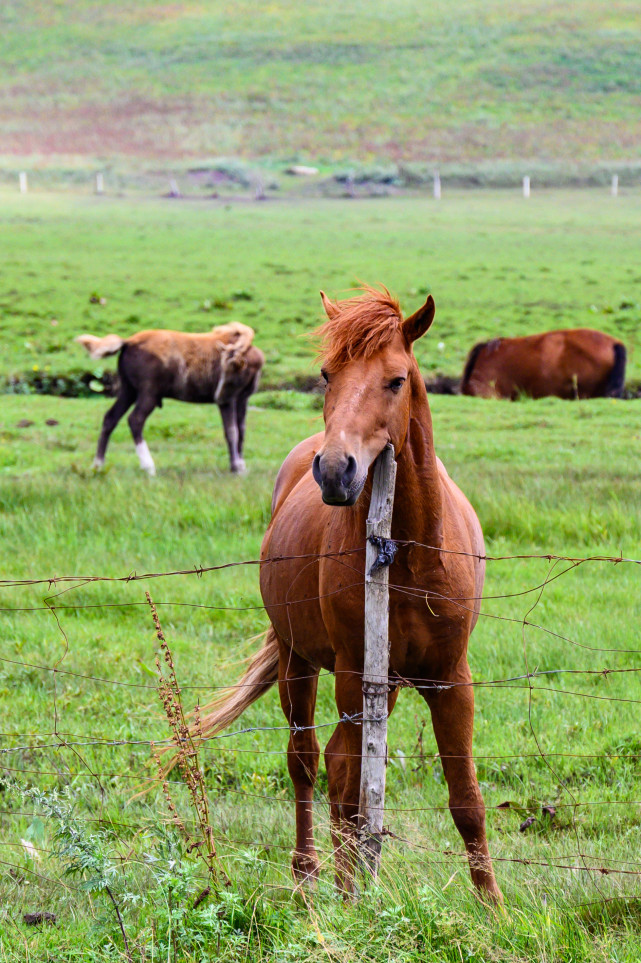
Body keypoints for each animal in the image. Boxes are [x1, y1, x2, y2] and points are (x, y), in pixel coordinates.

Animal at [75, 324, 262, 474]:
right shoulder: (230, 401)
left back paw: (97, 465)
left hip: (129, 391)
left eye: (231, 367)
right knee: (135, 419)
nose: (218, 396)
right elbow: (232, 431)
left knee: (110, 418)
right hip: (148, 394)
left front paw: (240, 466)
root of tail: (129, 342)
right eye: (222, 366)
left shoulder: (241, 399)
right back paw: (149, 466)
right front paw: (237, 468)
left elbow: (241, 430)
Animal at [194, 286, 500, 904]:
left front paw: (494, 907)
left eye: (396, 379)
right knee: (310, 763)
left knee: (336, 767)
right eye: (325, 374)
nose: (336, 470)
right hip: (302, 664)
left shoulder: (450, 679)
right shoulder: (355, 673)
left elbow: (466, 800)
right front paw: (353, 899)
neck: (411, 554)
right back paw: (313, 874)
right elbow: (349, 789)